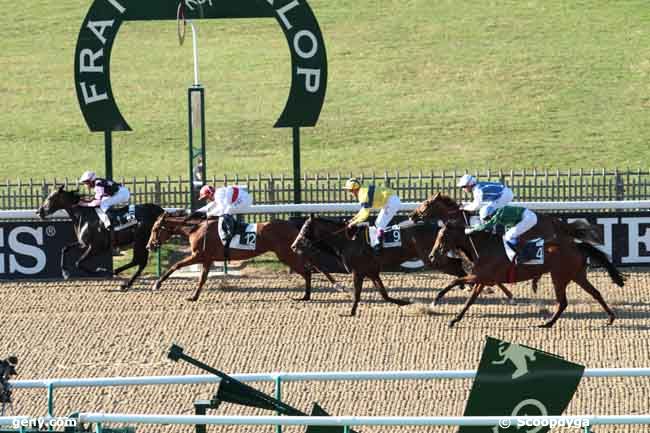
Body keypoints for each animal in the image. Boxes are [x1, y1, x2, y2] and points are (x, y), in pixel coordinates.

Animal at [35, 185, 165, 288]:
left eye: (50, 198)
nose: (39, 212)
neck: (84, 216)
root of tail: (155, 210)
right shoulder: (83, 243)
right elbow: (65, 248)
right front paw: (65, 272)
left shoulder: (96, 247)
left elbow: (79, 263)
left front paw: (101, 271)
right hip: (143, 242)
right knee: (139, 262)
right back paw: (123, 279)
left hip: (140, 241)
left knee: (139, 261)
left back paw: (120, 278)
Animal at [144, 213, 342, 300]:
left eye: (155, 229)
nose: (149, 246)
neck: (196, 228)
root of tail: (292, 225)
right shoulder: (207, 259)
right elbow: (202, 279)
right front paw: (193, 296)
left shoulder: (198, 255)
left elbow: (175, 266)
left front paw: (157, 284)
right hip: (289, 252)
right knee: (310, 266)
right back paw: (311, 293)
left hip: (287, 253)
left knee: (308, 268)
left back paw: (311, 294)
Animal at [426, 221, 624, 326]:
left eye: (443, 237)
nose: (431, 255)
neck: (484, 246)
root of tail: (577, 245)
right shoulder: (483, 279)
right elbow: (469, 301)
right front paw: (454, 319)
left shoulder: (481, 276)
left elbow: (455, 281)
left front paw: (435, 300)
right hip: (577, 275)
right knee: (595, 293)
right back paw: (610, 318)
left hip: (559, 277)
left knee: (563, 302)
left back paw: (547, 323)